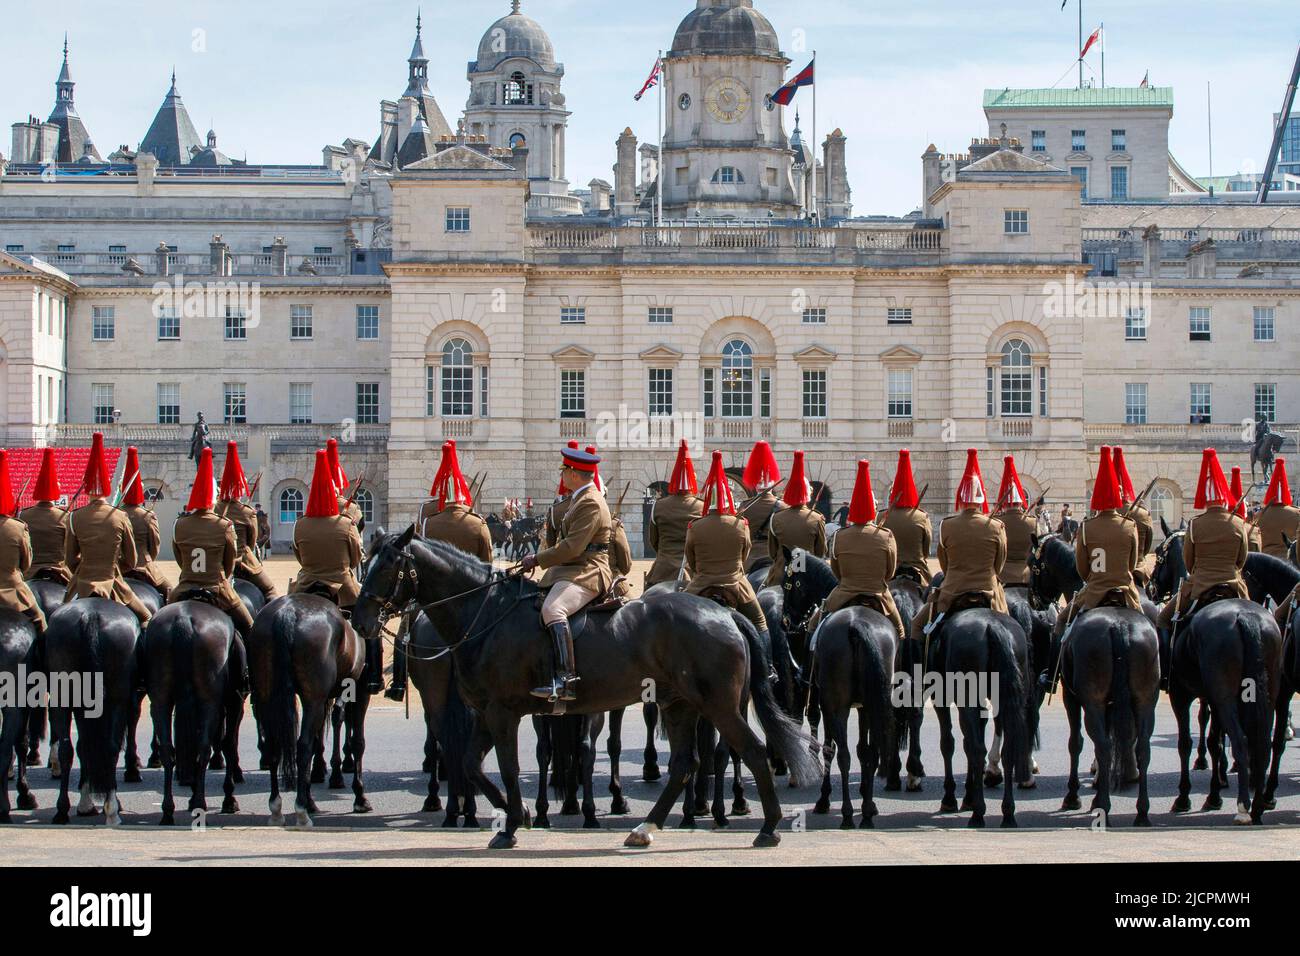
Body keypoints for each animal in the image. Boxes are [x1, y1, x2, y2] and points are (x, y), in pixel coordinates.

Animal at [43, 600, 141, 827]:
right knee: (110, 747)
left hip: (63, 696)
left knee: (67, 750)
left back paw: (62, 811)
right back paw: (112, 810)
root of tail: (90, 615)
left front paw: (85, 802)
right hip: (117, 699)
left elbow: (82, 747)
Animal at [144, 600, 244, 827]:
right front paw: (229, 799)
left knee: (168, 749)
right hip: (210, 701)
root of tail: (184, 620)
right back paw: (200, 804)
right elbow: (228, 744)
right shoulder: (234, 702)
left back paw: (168, 811)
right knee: (205, 747)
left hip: (160, 700)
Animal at [248, 595, 371, 827]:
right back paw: (301, 812)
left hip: (269, 697)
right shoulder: (359, 691)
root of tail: (287, 612)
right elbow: (357, 742)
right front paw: (360, 797)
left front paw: (312, 798)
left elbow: (323, 736)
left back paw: (277, 808)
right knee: (303, 746)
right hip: (314, 699)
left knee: (274, 746)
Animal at [351, 530, 816, 853]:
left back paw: (769, 827)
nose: (359, 621)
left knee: (752, 751)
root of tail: (724, 612)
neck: (484, 613)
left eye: (388, 567)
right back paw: (646, 828)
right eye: (365, 563)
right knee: (686, 762)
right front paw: (518, 814)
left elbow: (506, 767)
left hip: (718, 706)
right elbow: (471, 764)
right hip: (680, 704)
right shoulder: (486, 712)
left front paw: (511, 825)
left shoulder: (503, 712)